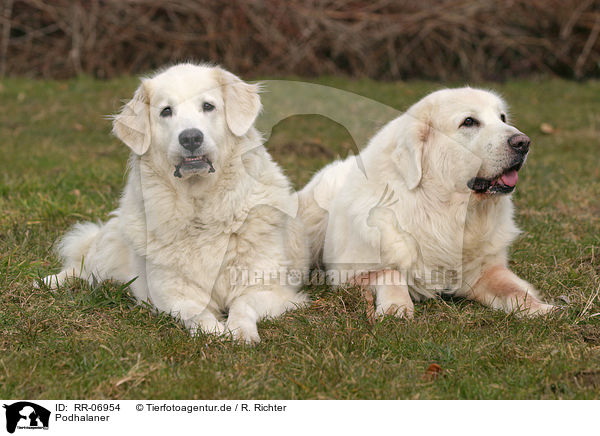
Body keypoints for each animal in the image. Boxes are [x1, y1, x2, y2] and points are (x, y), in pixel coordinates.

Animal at [39, 63, 310, 344]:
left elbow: (242, 306)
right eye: (166, 111)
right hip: (105, 255)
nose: (190, 138)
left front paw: (240, 333)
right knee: (81, 267)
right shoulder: (169, 292)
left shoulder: (267, 287)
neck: (200, 205)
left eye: (208, 106)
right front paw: (213, 333)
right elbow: (196, 313)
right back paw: (47, 281)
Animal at [298, 87, 556, 318]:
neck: (442, 211)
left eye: (502, 118)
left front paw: (542, 309)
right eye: (469, 122)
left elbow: (513, 290)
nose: (524, 142)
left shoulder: (485, 272)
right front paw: (397, 307)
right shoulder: (349, 272)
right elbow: (390, 274)